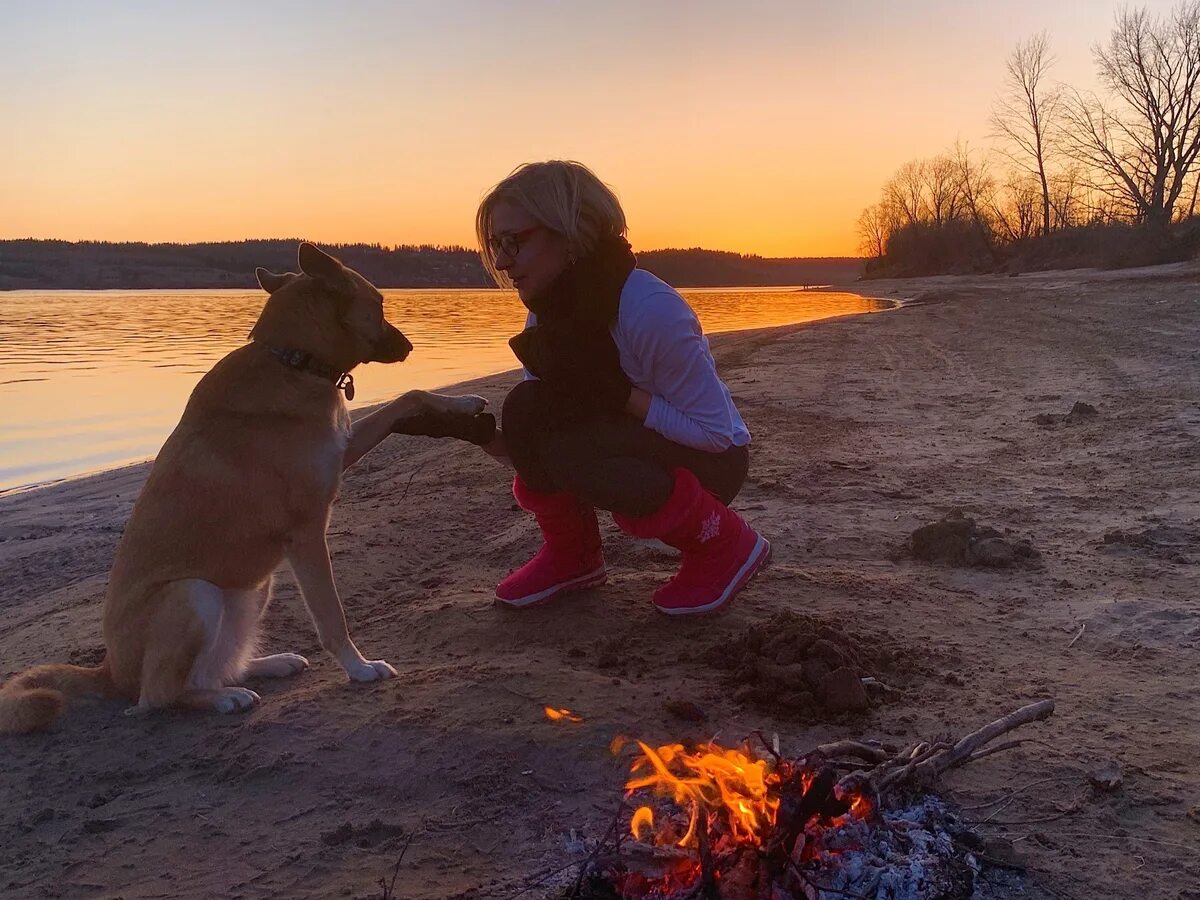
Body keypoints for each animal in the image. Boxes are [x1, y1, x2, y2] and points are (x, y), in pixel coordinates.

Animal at [2, 243, 487, 734]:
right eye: (380, 305)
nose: (409, 345)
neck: (293, 362)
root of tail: (109, 670)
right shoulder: (306, 533)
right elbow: (331, 616)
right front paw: (359, 668)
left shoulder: (342, 451)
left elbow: (409, 396)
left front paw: (462, 402)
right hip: (194, 594)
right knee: (157, 696)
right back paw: (221, 698)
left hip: (251, 588)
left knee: (212, 669)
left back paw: (265, 666)